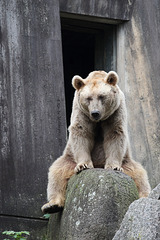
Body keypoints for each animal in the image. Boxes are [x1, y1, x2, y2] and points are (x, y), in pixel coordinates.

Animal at [41, 70, 151, 214]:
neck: (99, 120)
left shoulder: (116, 112)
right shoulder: (81, 112)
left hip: (127, 163)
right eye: (88, 98)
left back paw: (144, 196)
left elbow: (115, 134)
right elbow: (81, 132)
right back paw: (51, 205)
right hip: (69, 160)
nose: (95, 112)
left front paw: (113, 166)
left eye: (101, 96)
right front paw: (84, 165)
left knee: (140, 175)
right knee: (57, 173)